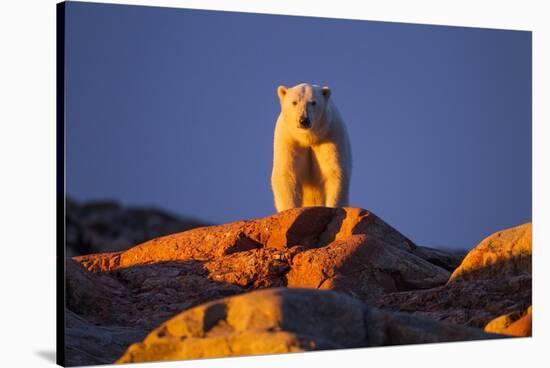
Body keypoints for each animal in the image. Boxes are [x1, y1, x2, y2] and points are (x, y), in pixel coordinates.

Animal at [272, 82, 354, 211]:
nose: (304, 120)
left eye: (313, 102)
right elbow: (287, 173)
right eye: (294, 102)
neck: (308, 138)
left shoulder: (330, 135)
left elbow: (334, 171)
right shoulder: (289, 139)